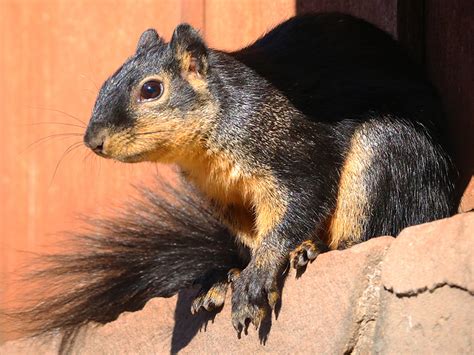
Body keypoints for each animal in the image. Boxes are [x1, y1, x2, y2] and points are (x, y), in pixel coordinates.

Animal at [13, 12, 456, 352]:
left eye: (151, 89)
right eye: (105, 83)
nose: (94, 141)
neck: (206, 146)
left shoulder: (294, 154)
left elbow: (297, 206)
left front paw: (258, 275)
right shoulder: (227, 199)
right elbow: (252, 234)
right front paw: (233, 276)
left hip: (387, 153)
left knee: (376, 229)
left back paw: (317, 248)